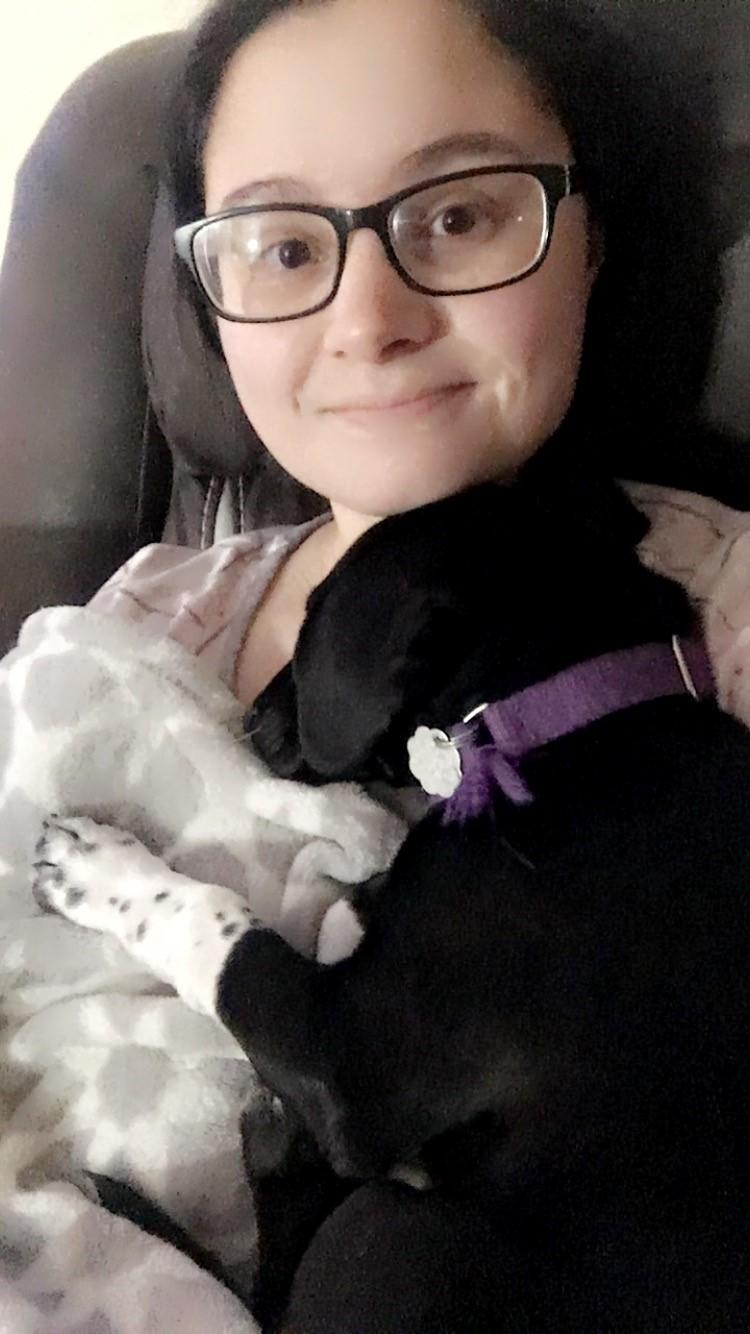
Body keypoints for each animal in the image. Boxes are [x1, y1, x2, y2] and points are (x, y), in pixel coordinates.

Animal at [217, 466, 750, 1323]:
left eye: (308, 627)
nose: (246, 721)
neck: (576, 717)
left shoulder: (351, 1063)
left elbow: (237, 952)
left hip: (387, 1237)